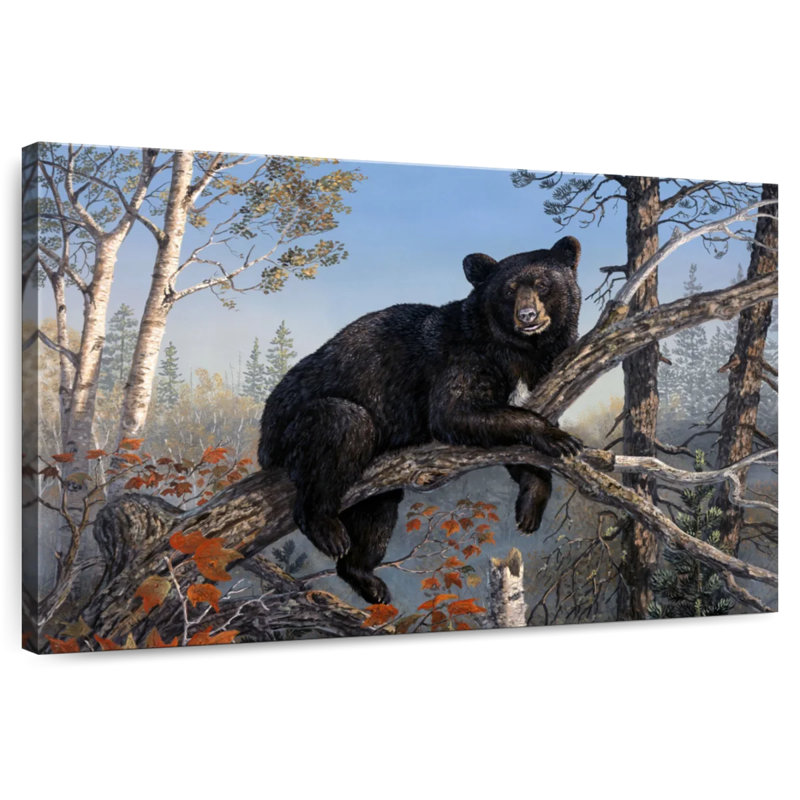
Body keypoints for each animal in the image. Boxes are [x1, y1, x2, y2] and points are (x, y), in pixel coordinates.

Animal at [258, 236, 583, 604]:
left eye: (542, 284)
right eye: (509, 290)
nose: (527, 315)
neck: (519, 352)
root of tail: (263, 440)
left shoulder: (538, 375)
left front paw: (531, 502)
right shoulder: (464, 358)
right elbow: (455, 412)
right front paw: (557, 439)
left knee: (377, 512)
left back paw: (365, 577)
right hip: (292, 428)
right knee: (342, 424)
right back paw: (325, 527)